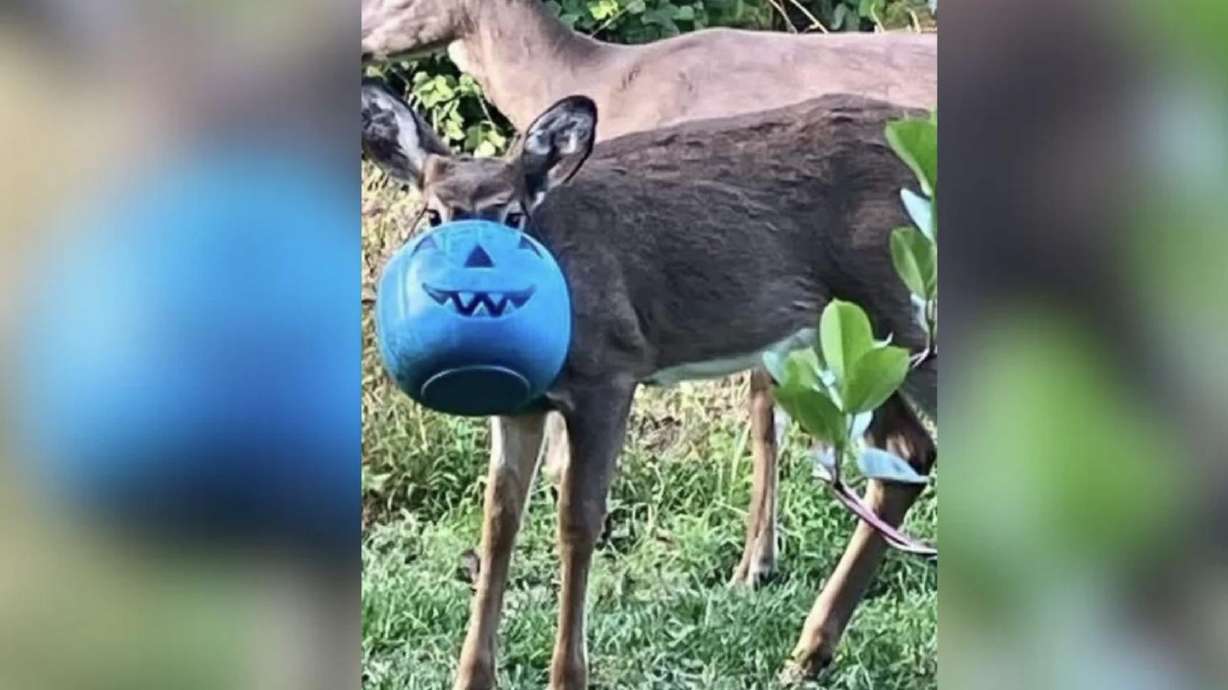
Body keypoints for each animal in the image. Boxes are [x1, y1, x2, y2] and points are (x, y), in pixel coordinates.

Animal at [362, 79, 937, 688]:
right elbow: (499, 522)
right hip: (843, 343)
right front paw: (471, 676)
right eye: (433, 215)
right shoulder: (522, 405)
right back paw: (809, 651)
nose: (472, 278)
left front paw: (567, 676)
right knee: (906, 453)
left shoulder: (612, 370)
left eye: (513, 216)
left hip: (900, 308)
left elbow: (577, 521)